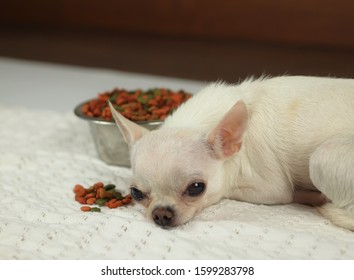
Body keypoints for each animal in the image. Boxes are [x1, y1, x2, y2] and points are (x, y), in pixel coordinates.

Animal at [109, 76, 354, 230]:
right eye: (135, 193)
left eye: (196, 188)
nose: (161, 214)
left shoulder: (272, 189)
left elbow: (230, 189)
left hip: (323, 157)